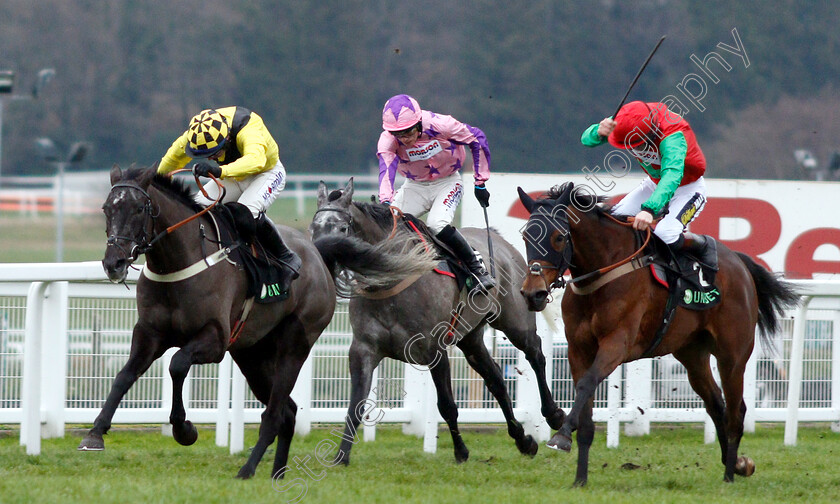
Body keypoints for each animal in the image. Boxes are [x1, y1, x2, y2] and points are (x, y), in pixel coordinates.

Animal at [77, 166, 336, 480]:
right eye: (106, 208)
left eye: (139, 208)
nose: (113, 264)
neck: (176, 264)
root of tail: (318, 258)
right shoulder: (149, 333)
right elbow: (124, 376)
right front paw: (95, 433)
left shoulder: (215, 340)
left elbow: (177, 364)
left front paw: (184, 429)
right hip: (253, 355)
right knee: (288, 412)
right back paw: (277, 473)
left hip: (294, 345)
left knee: (275, 414)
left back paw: (247, 469)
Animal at [308, 179, 564, 466]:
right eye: (313, 228)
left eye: (342, 228)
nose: (321, 260)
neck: (393, 280)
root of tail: (498, 238)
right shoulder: (363, 350)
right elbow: (356, 405)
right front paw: (341, 456)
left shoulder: (434, 350)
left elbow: (447, 405)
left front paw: (461, 451)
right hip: (470, 337)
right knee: (496, 378)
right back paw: (523, 440)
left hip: (515, 322)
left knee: (536, 354)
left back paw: (553, 414)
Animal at [516, 183, 796, 486]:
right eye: (525, 236)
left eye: (558, 237)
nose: (533, 293)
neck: (604, 271)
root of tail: (741, 264)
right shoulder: (578, 349)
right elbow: (585, 403)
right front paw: (579, 479)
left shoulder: (617, 343)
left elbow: (588, 382)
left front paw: (561, 435)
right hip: (692, 355)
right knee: (716, 404)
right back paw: (736, 465)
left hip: (732, 356)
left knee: (736, 411)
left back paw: (730, 475)